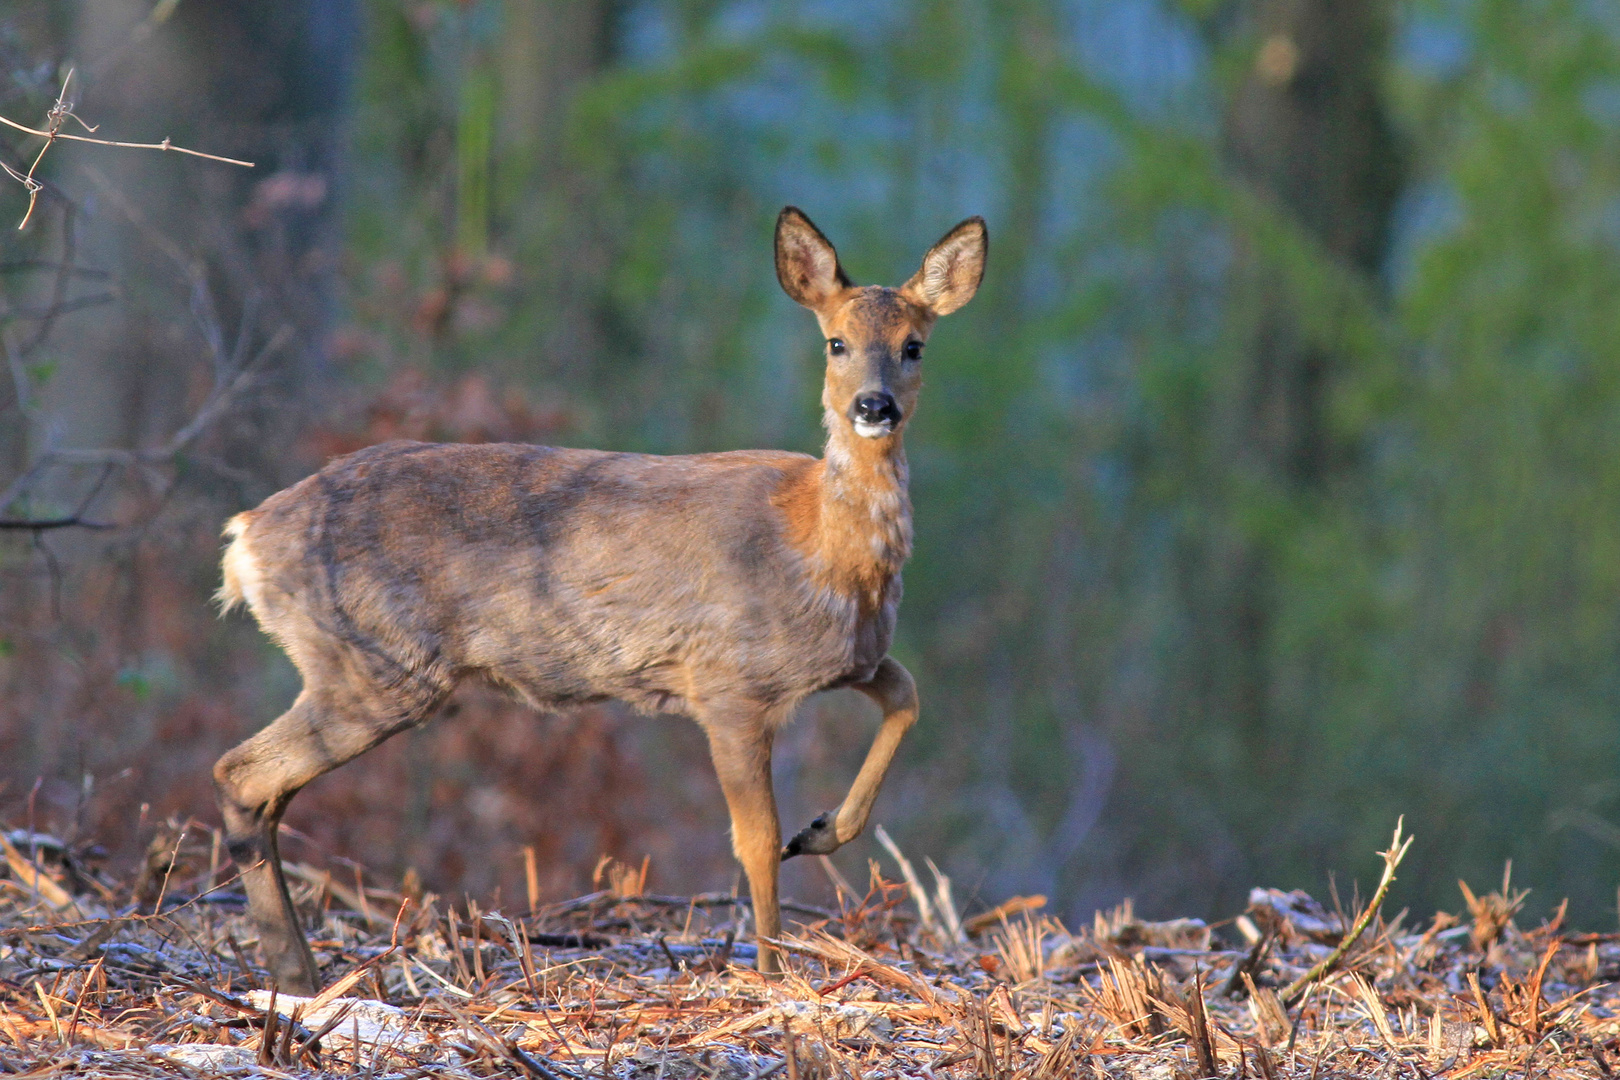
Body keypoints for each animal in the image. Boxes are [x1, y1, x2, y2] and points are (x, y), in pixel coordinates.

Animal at [208, 207, 978, 990]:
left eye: (913, 345)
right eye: (836, 341)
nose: (874, 406)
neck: (821, 546)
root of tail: (247, 539)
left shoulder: (852, 659)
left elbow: (907, 696)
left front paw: (819, 832)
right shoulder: (729, 683)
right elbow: (756, 841)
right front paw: (770, 973)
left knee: (266, 791)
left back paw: (300, 973)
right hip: (374, 662)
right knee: (241, 774)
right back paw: (296, 976)